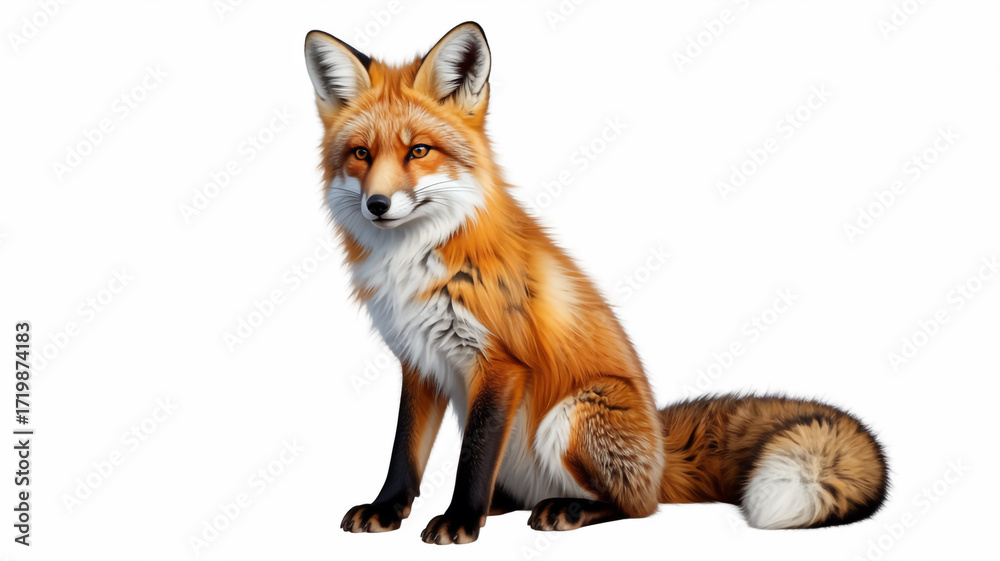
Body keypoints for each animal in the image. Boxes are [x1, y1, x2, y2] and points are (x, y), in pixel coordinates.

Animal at [304, 22, 889, 544]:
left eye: (419, 151)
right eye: (361, 154)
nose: (377, 204)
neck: (416, 259)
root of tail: (662, 452)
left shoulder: (500, 362)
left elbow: (472, 459)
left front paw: (459, 522)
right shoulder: (419, 360)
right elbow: (404, 450)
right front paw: (387, 510)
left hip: (575, 414)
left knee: (636, 506)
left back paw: (564, 509)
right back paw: (508, 506)